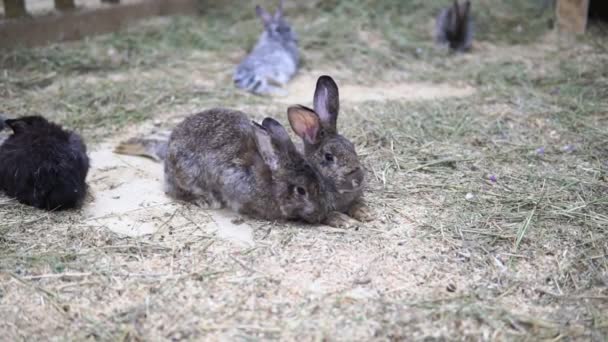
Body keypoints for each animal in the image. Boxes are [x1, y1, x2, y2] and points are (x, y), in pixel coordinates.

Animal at [288, 75, 372, 224]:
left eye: (352, 147)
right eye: (328, 157)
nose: (358, 179)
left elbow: (357, 203)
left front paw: (364, 213)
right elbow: (325, 215)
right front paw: (343, 220)